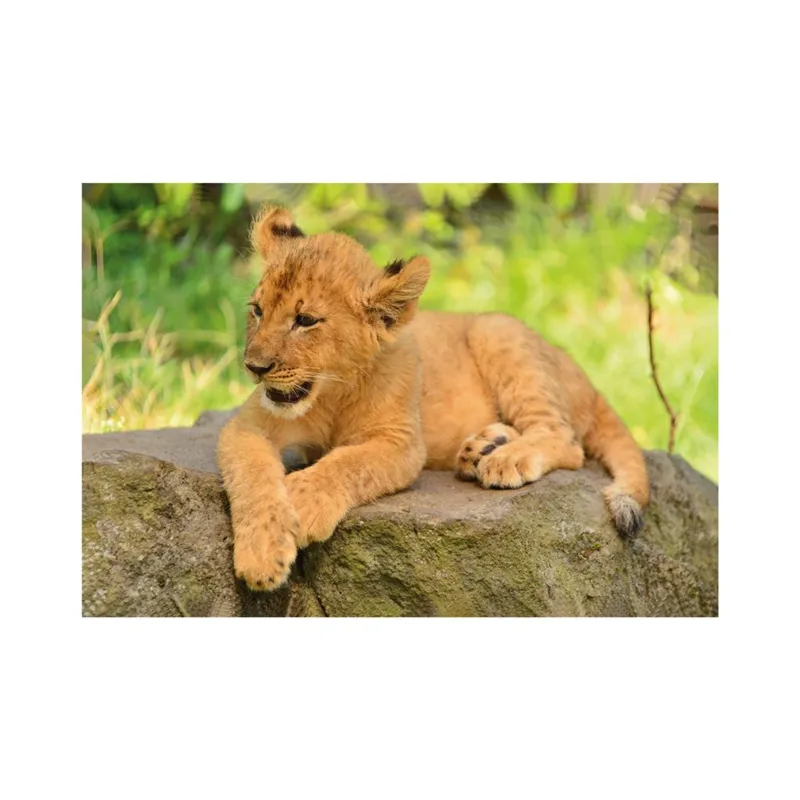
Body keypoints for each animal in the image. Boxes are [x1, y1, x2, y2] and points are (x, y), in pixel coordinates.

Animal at [217, 205, 650, 591]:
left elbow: (347, 463)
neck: (330, 393)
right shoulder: (248, 425)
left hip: (498, 330)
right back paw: (483, 447)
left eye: (305, 321)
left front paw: (303, 501)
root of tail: (589, 380)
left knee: (566, 440)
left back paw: (504, 459)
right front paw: (262, 556)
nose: (254, 366)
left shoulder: (402, 442)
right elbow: (252, 477)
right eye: (257, 310)